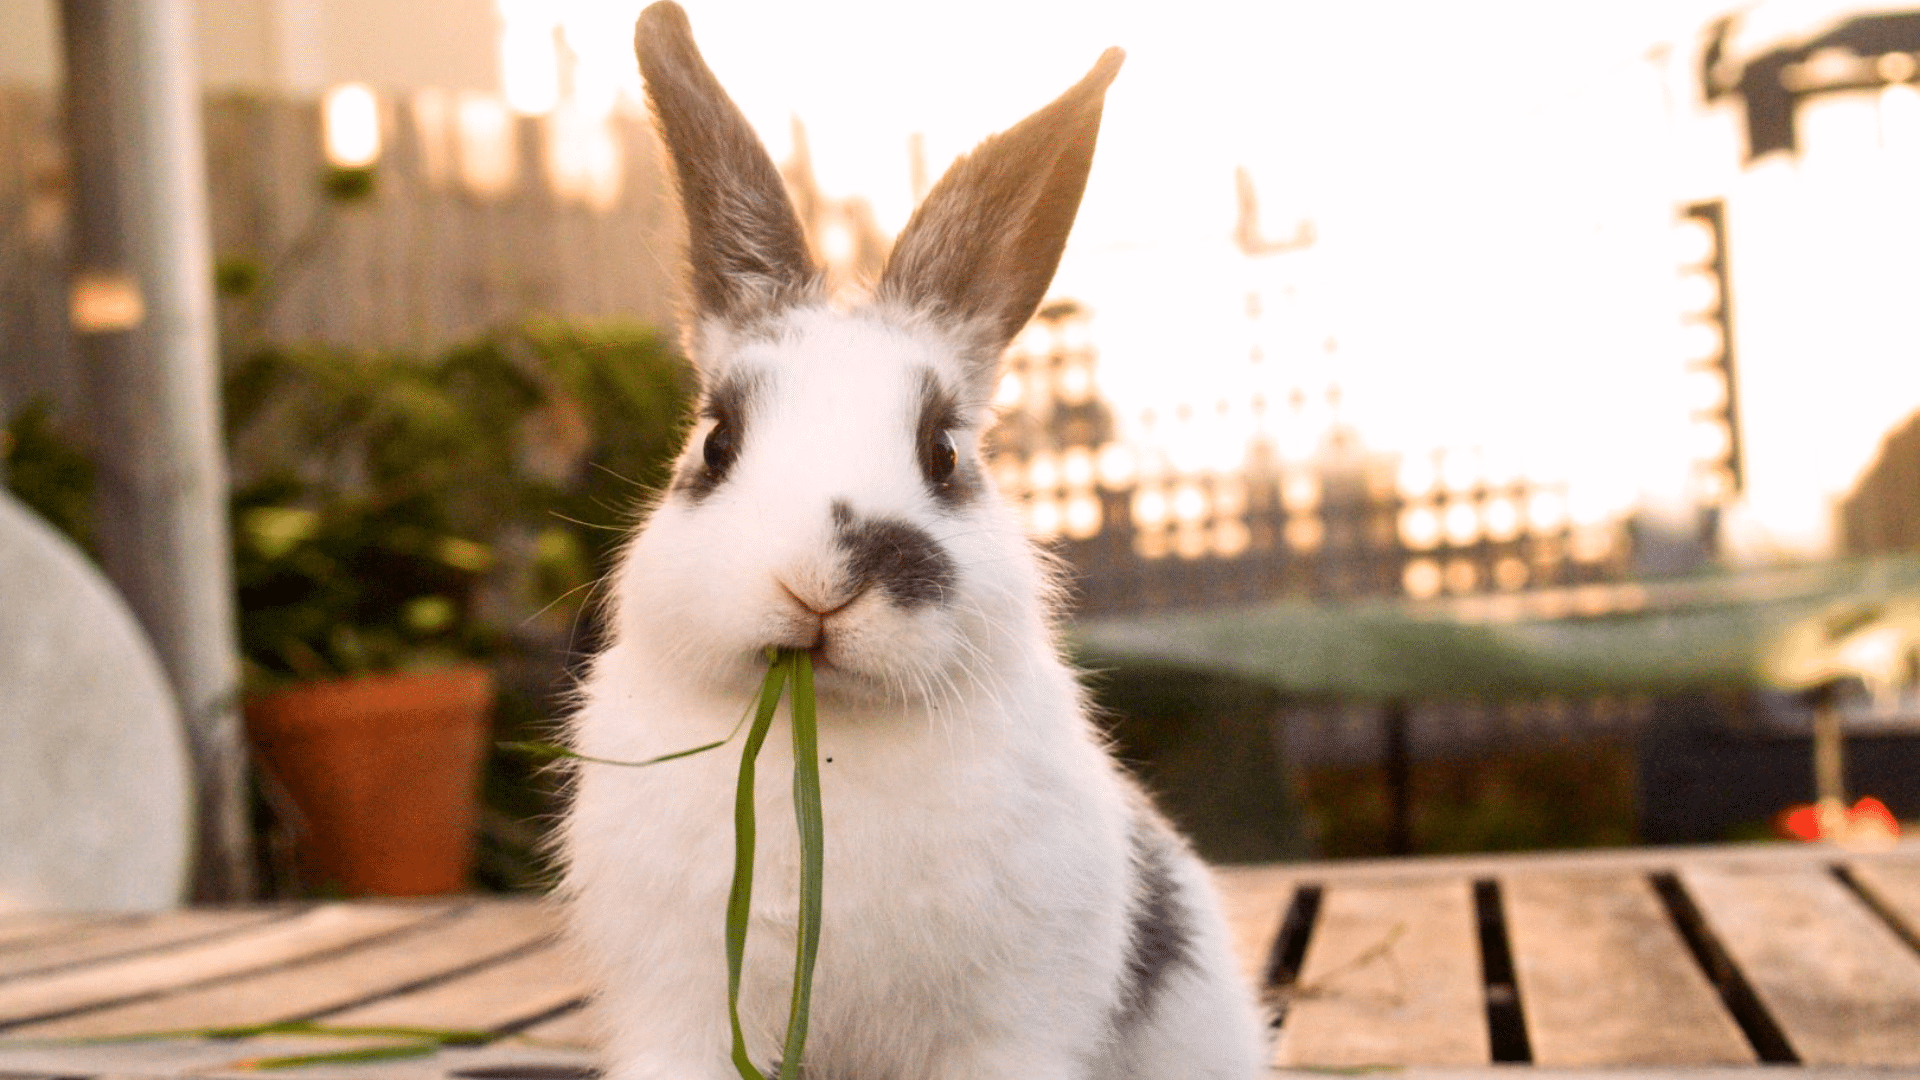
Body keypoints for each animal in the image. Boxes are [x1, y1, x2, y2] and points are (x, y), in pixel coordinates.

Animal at [557, 4, 1268, 1078]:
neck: (827, 742)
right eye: (717, 442)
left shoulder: (1009, 1025)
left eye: (943, 451)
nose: (822, 581)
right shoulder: (676, 1016)